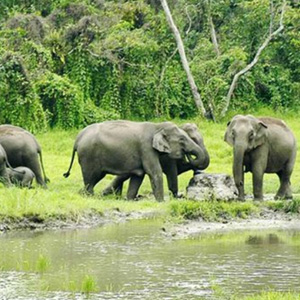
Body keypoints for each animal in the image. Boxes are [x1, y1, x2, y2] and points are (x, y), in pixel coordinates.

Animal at [63, 120, 209, 202]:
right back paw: (91, 196)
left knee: (95, 178)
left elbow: (138, 175)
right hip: (88, 156)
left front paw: (129, 200)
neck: (157, 126)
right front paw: (162, 202)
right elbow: (155, 172)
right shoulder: (146, 148)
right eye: (182, 140)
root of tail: (78, 138)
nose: (187, 154)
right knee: (91, 178)